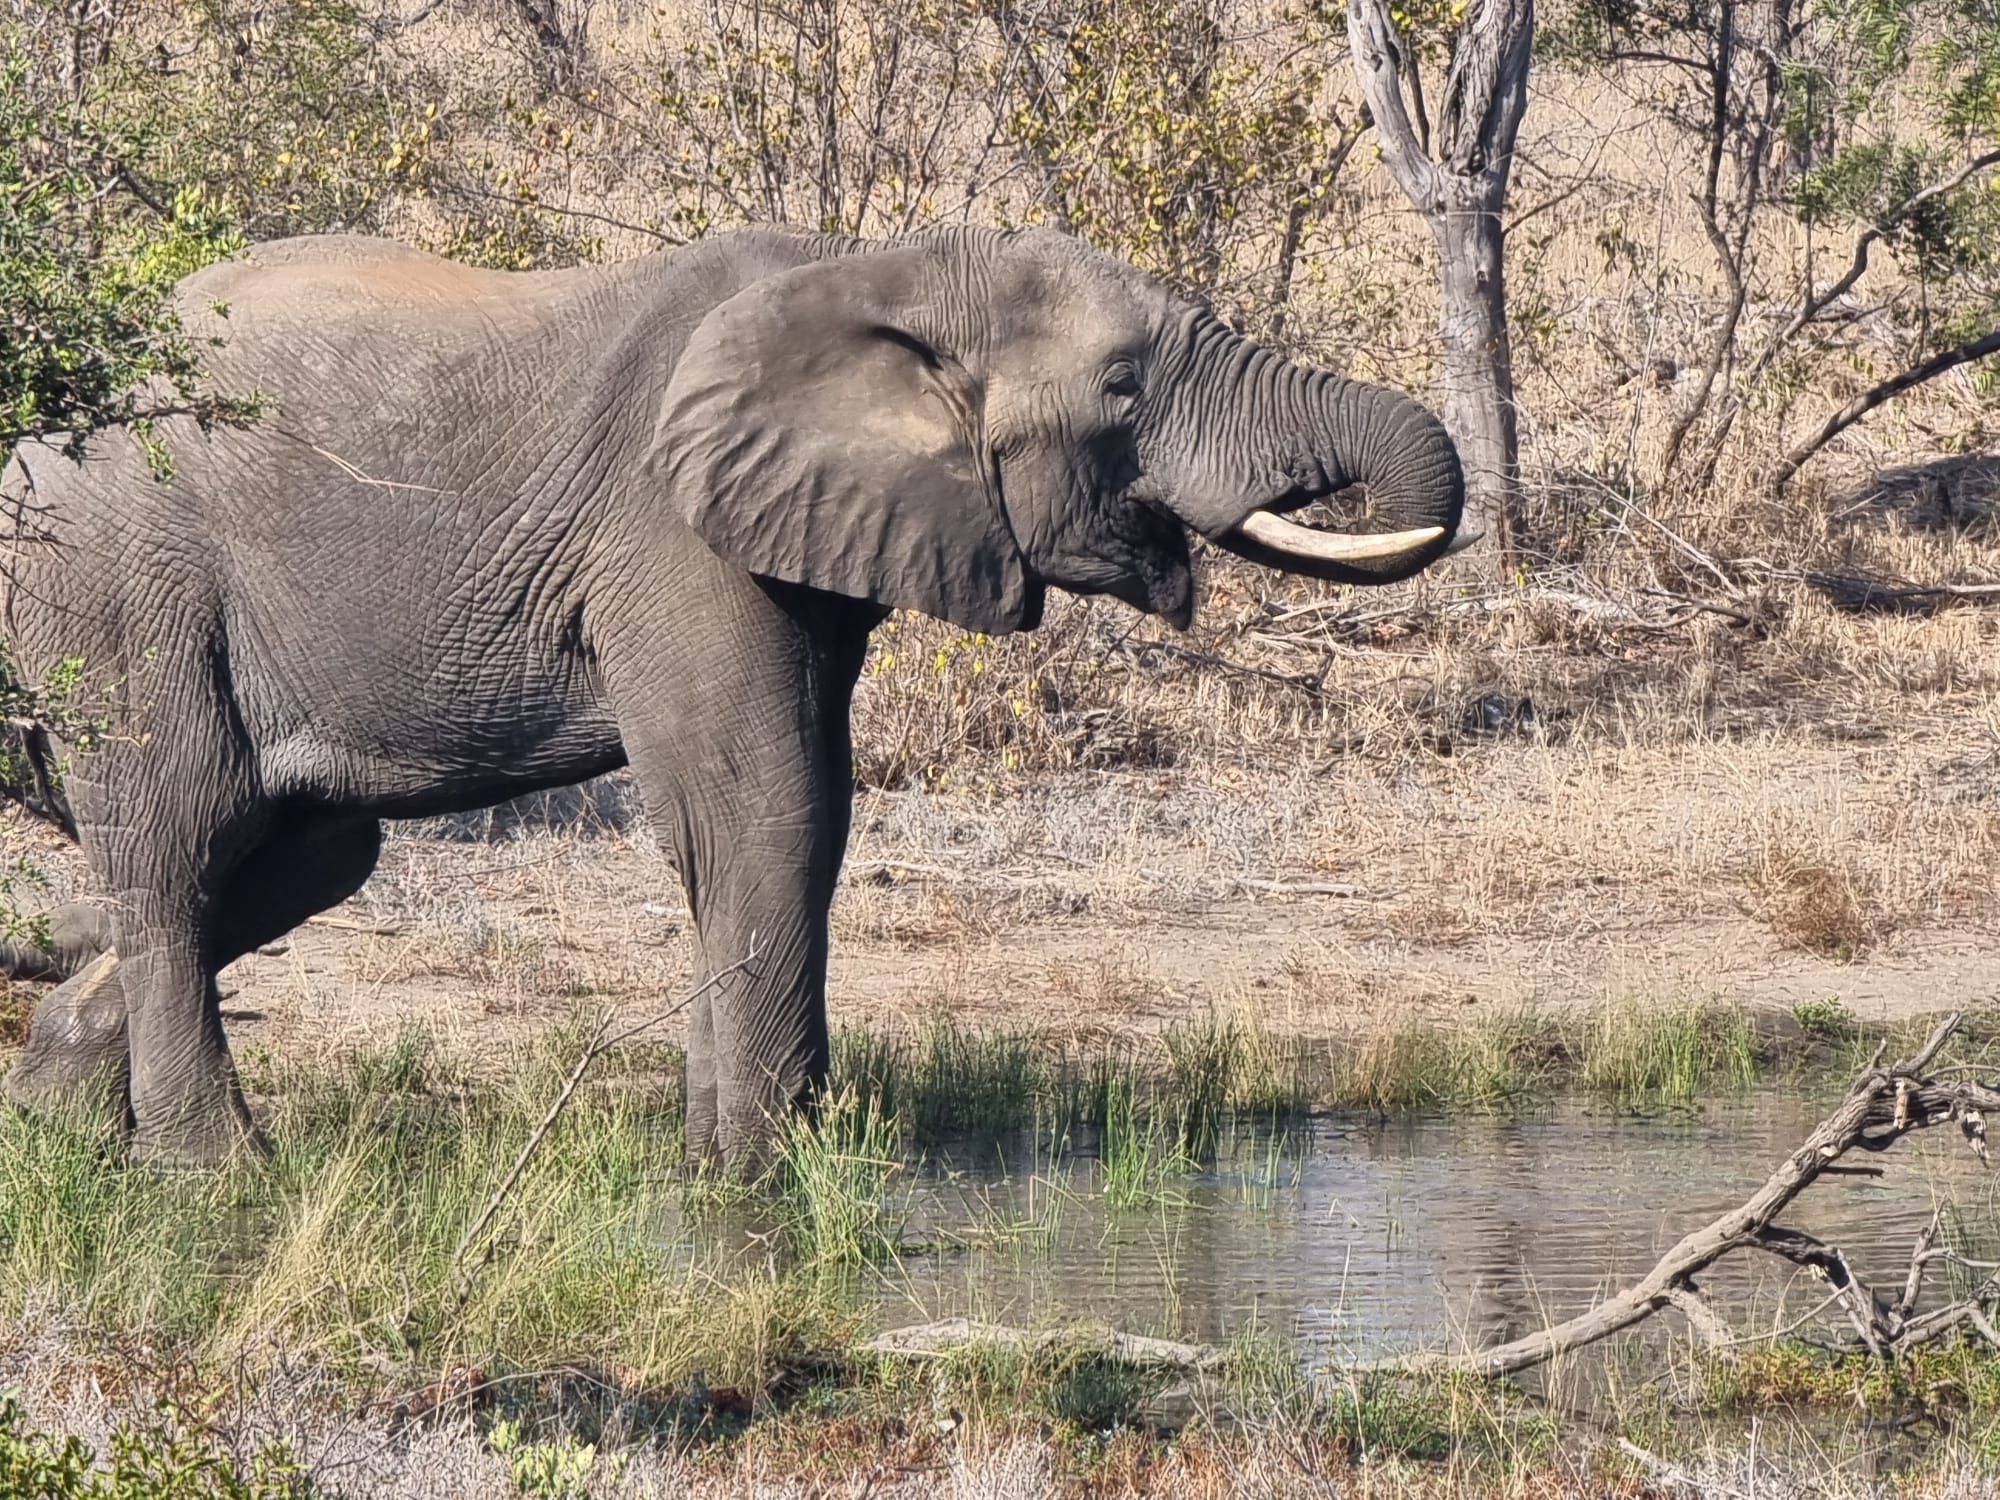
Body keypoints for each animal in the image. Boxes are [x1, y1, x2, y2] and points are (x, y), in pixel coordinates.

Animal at [0, 224, 1464, 1168]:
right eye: (1120, 386)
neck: (886, 267)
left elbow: (785, 806)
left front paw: (719, 1164)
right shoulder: (670, 531)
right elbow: (764, 806)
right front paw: (777, 1174)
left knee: (301, 855)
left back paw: (57, 1106)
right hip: (121, 585)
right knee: (180, 840)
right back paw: (220, 1172)